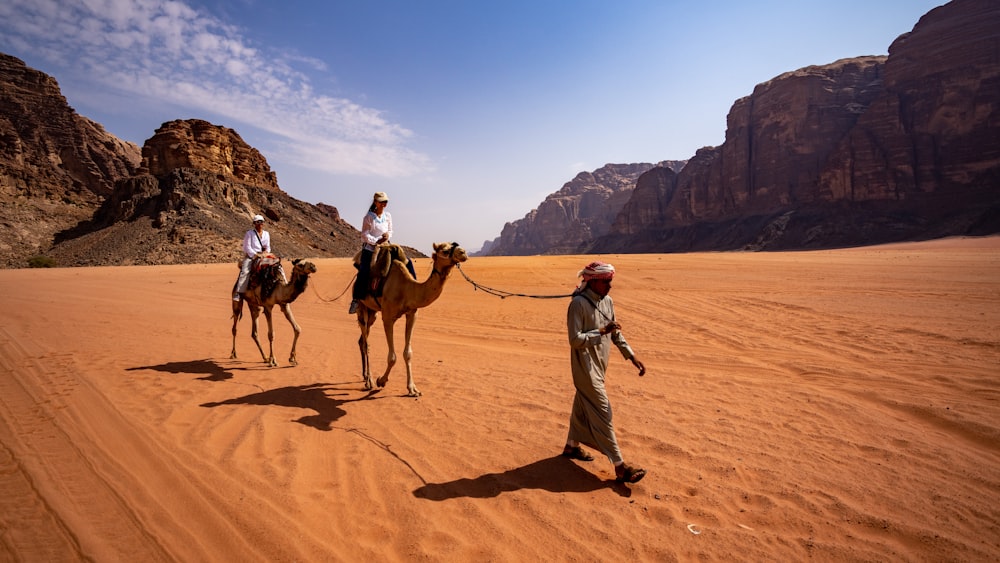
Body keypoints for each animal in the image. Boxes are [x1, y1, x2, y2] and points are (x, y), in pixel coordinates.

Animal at [356, 242, 468, 396]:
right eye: (445, 251)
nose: (463, 253)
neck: (406, 289)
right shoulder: (388, 317)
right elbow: (392, 357)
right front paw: (381, 380)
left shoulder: (412, 314)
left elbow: (408, 353)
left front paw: (412, 389)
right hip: (362, 307)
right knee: (366, 343)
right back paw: (369, 381)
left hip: (373, 312)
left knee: (362, 341)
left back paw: (365, 375)